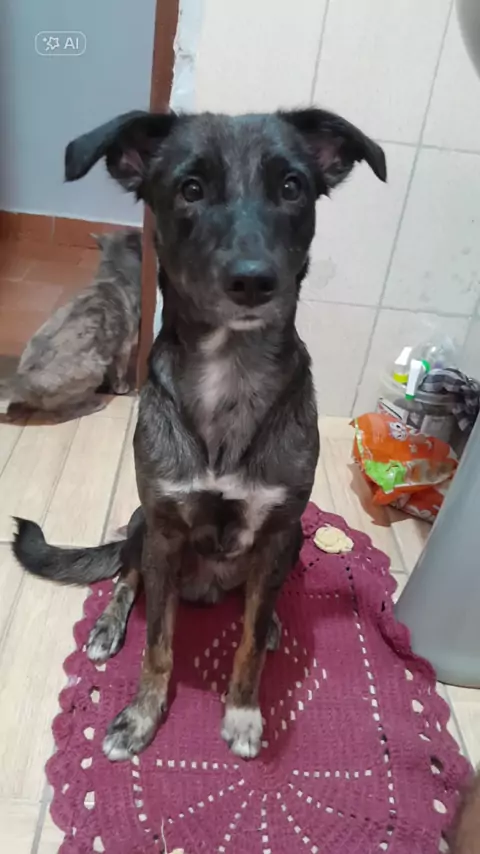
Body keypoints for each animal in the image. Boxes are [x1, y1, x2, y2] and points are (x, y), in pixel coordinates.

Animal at [6, 230, 142, 420]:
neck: (114, 275)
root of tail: (20, 381)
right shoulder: (125, 345)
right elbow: (121, 371)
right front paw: (121, 388)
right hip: (93, 368)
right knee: (62, 412)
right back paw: (95, 404)